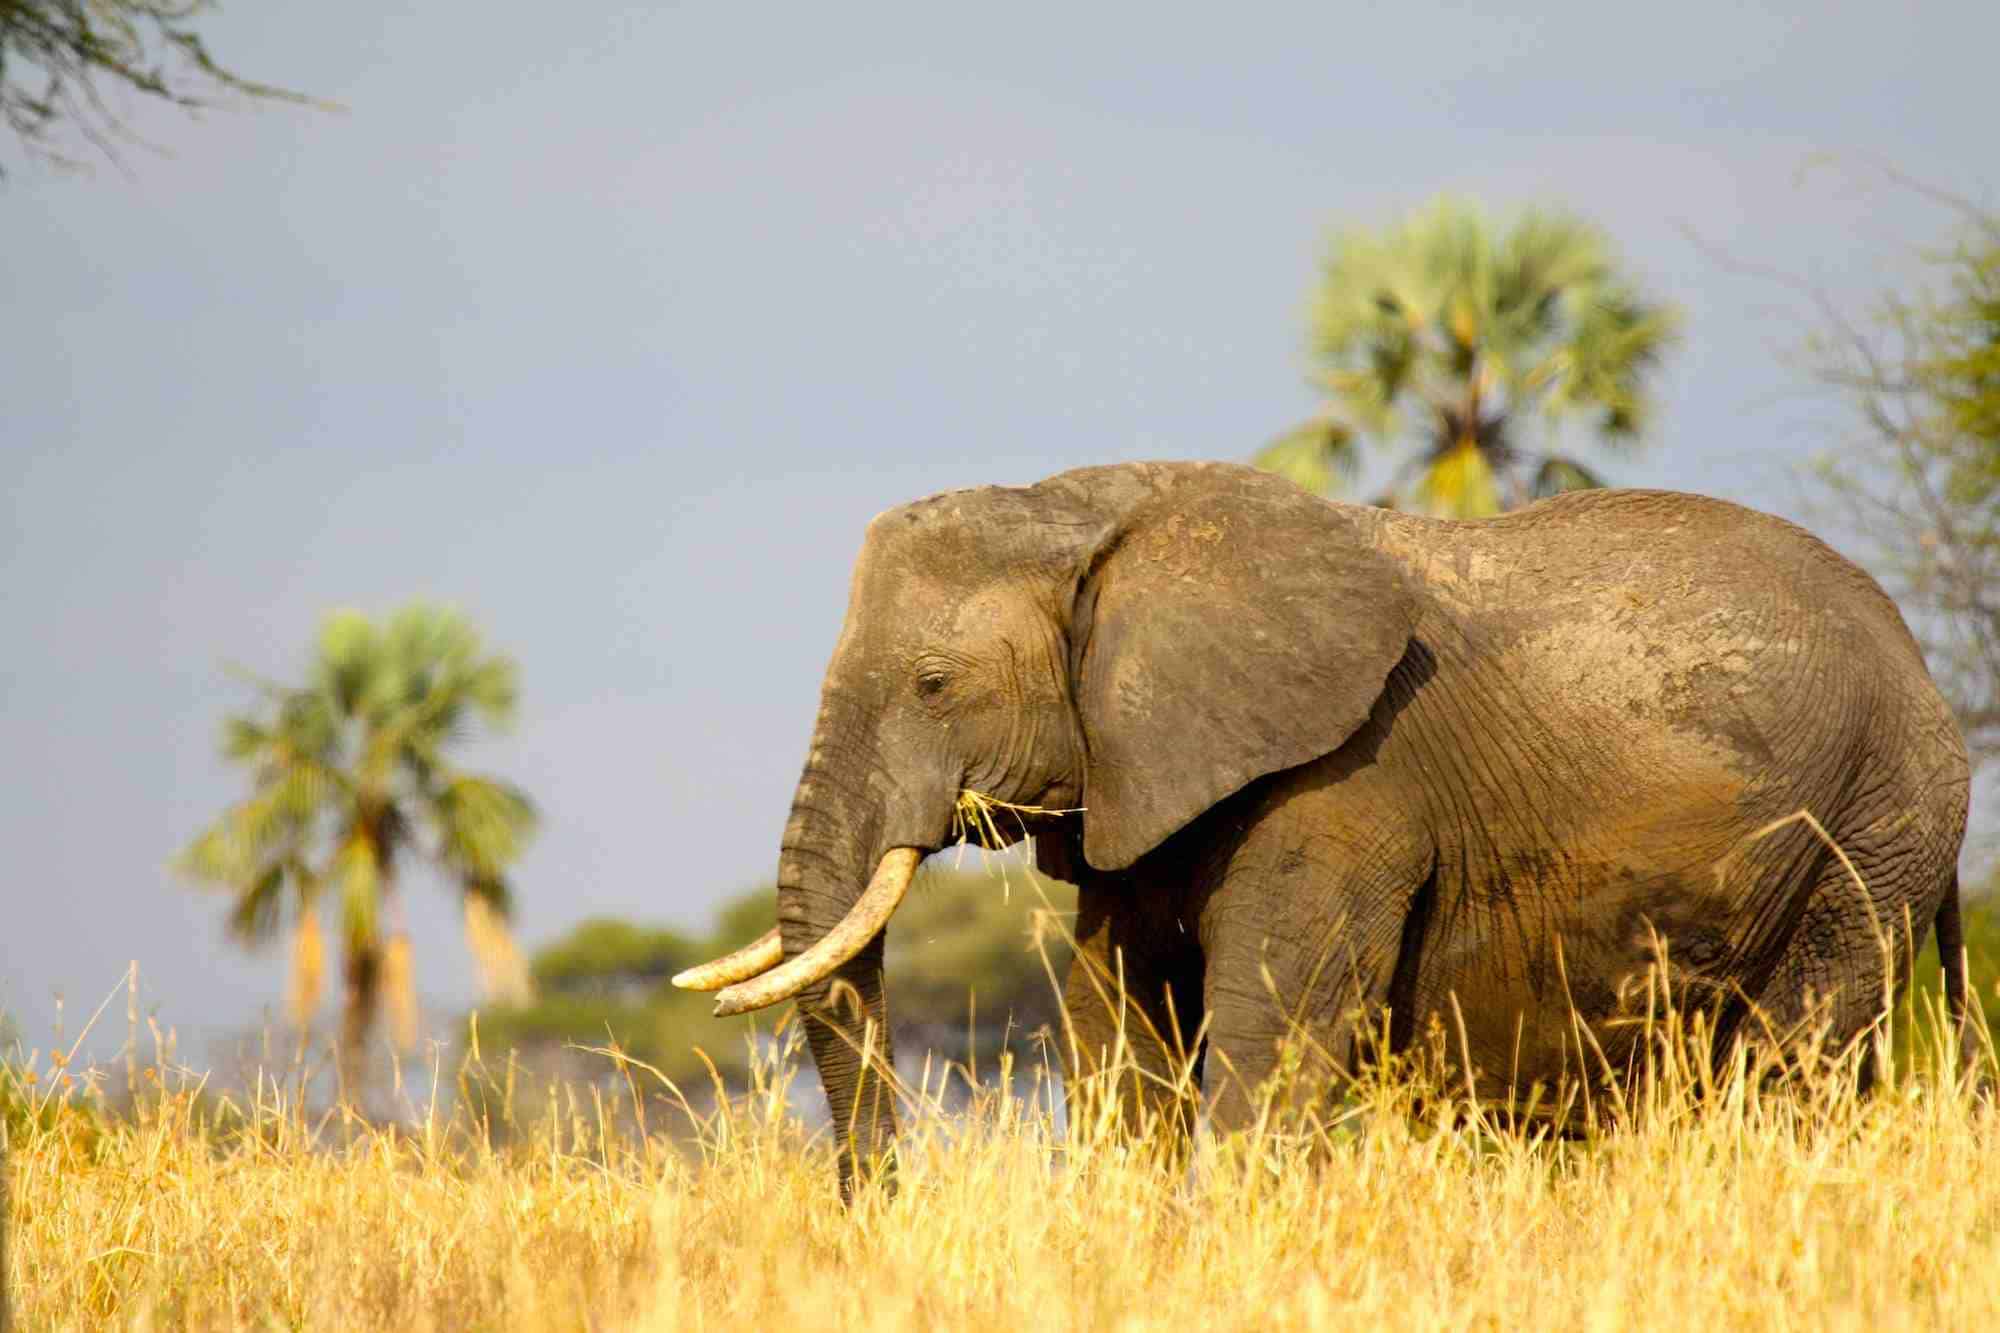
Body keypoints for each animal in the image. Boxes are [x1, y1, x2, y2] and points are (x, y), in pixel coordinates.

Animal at [674, 461, 1972, 1195]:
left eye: (934, 683)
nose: (880, 1205)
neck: (1096, 514)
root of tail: (1922, 668)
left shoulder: (1342, 784)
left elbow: (1271, 1027)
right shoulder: (1143, 771)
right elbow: (1116, 1025)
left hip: (1868, 836)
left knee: (1785, 1070)